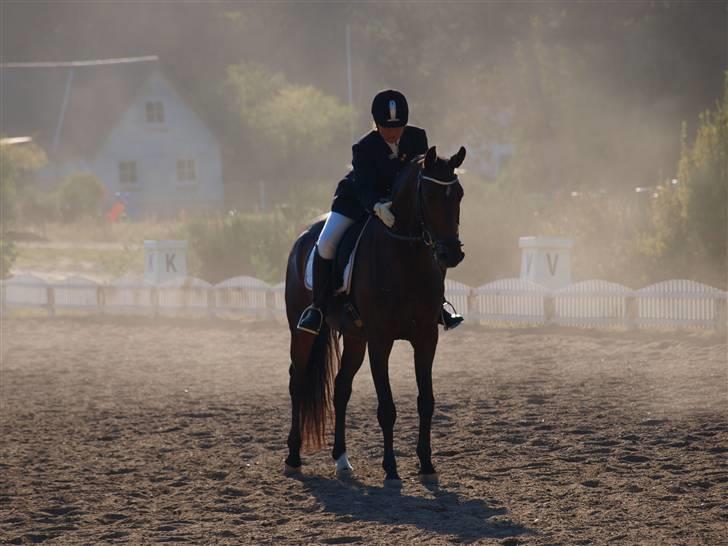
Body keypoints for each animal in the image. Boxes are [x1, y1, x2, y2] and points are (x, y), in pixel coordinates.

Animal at [284, 144, 466, 480]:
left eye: (458, 194)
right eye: (429, 196)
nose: (451, 254)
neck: (406, 257)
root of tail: (304, 236)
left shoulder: (426, 337)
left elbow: (426, 401)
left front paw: (426, 464)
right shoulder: (381, 341)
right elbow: (386, 407)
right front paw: (391, 467)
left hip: (356, 338)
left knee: (341, 387)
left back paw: (342, 459)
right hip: (301, 331)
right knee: (297, 381)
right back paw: (293, 456)